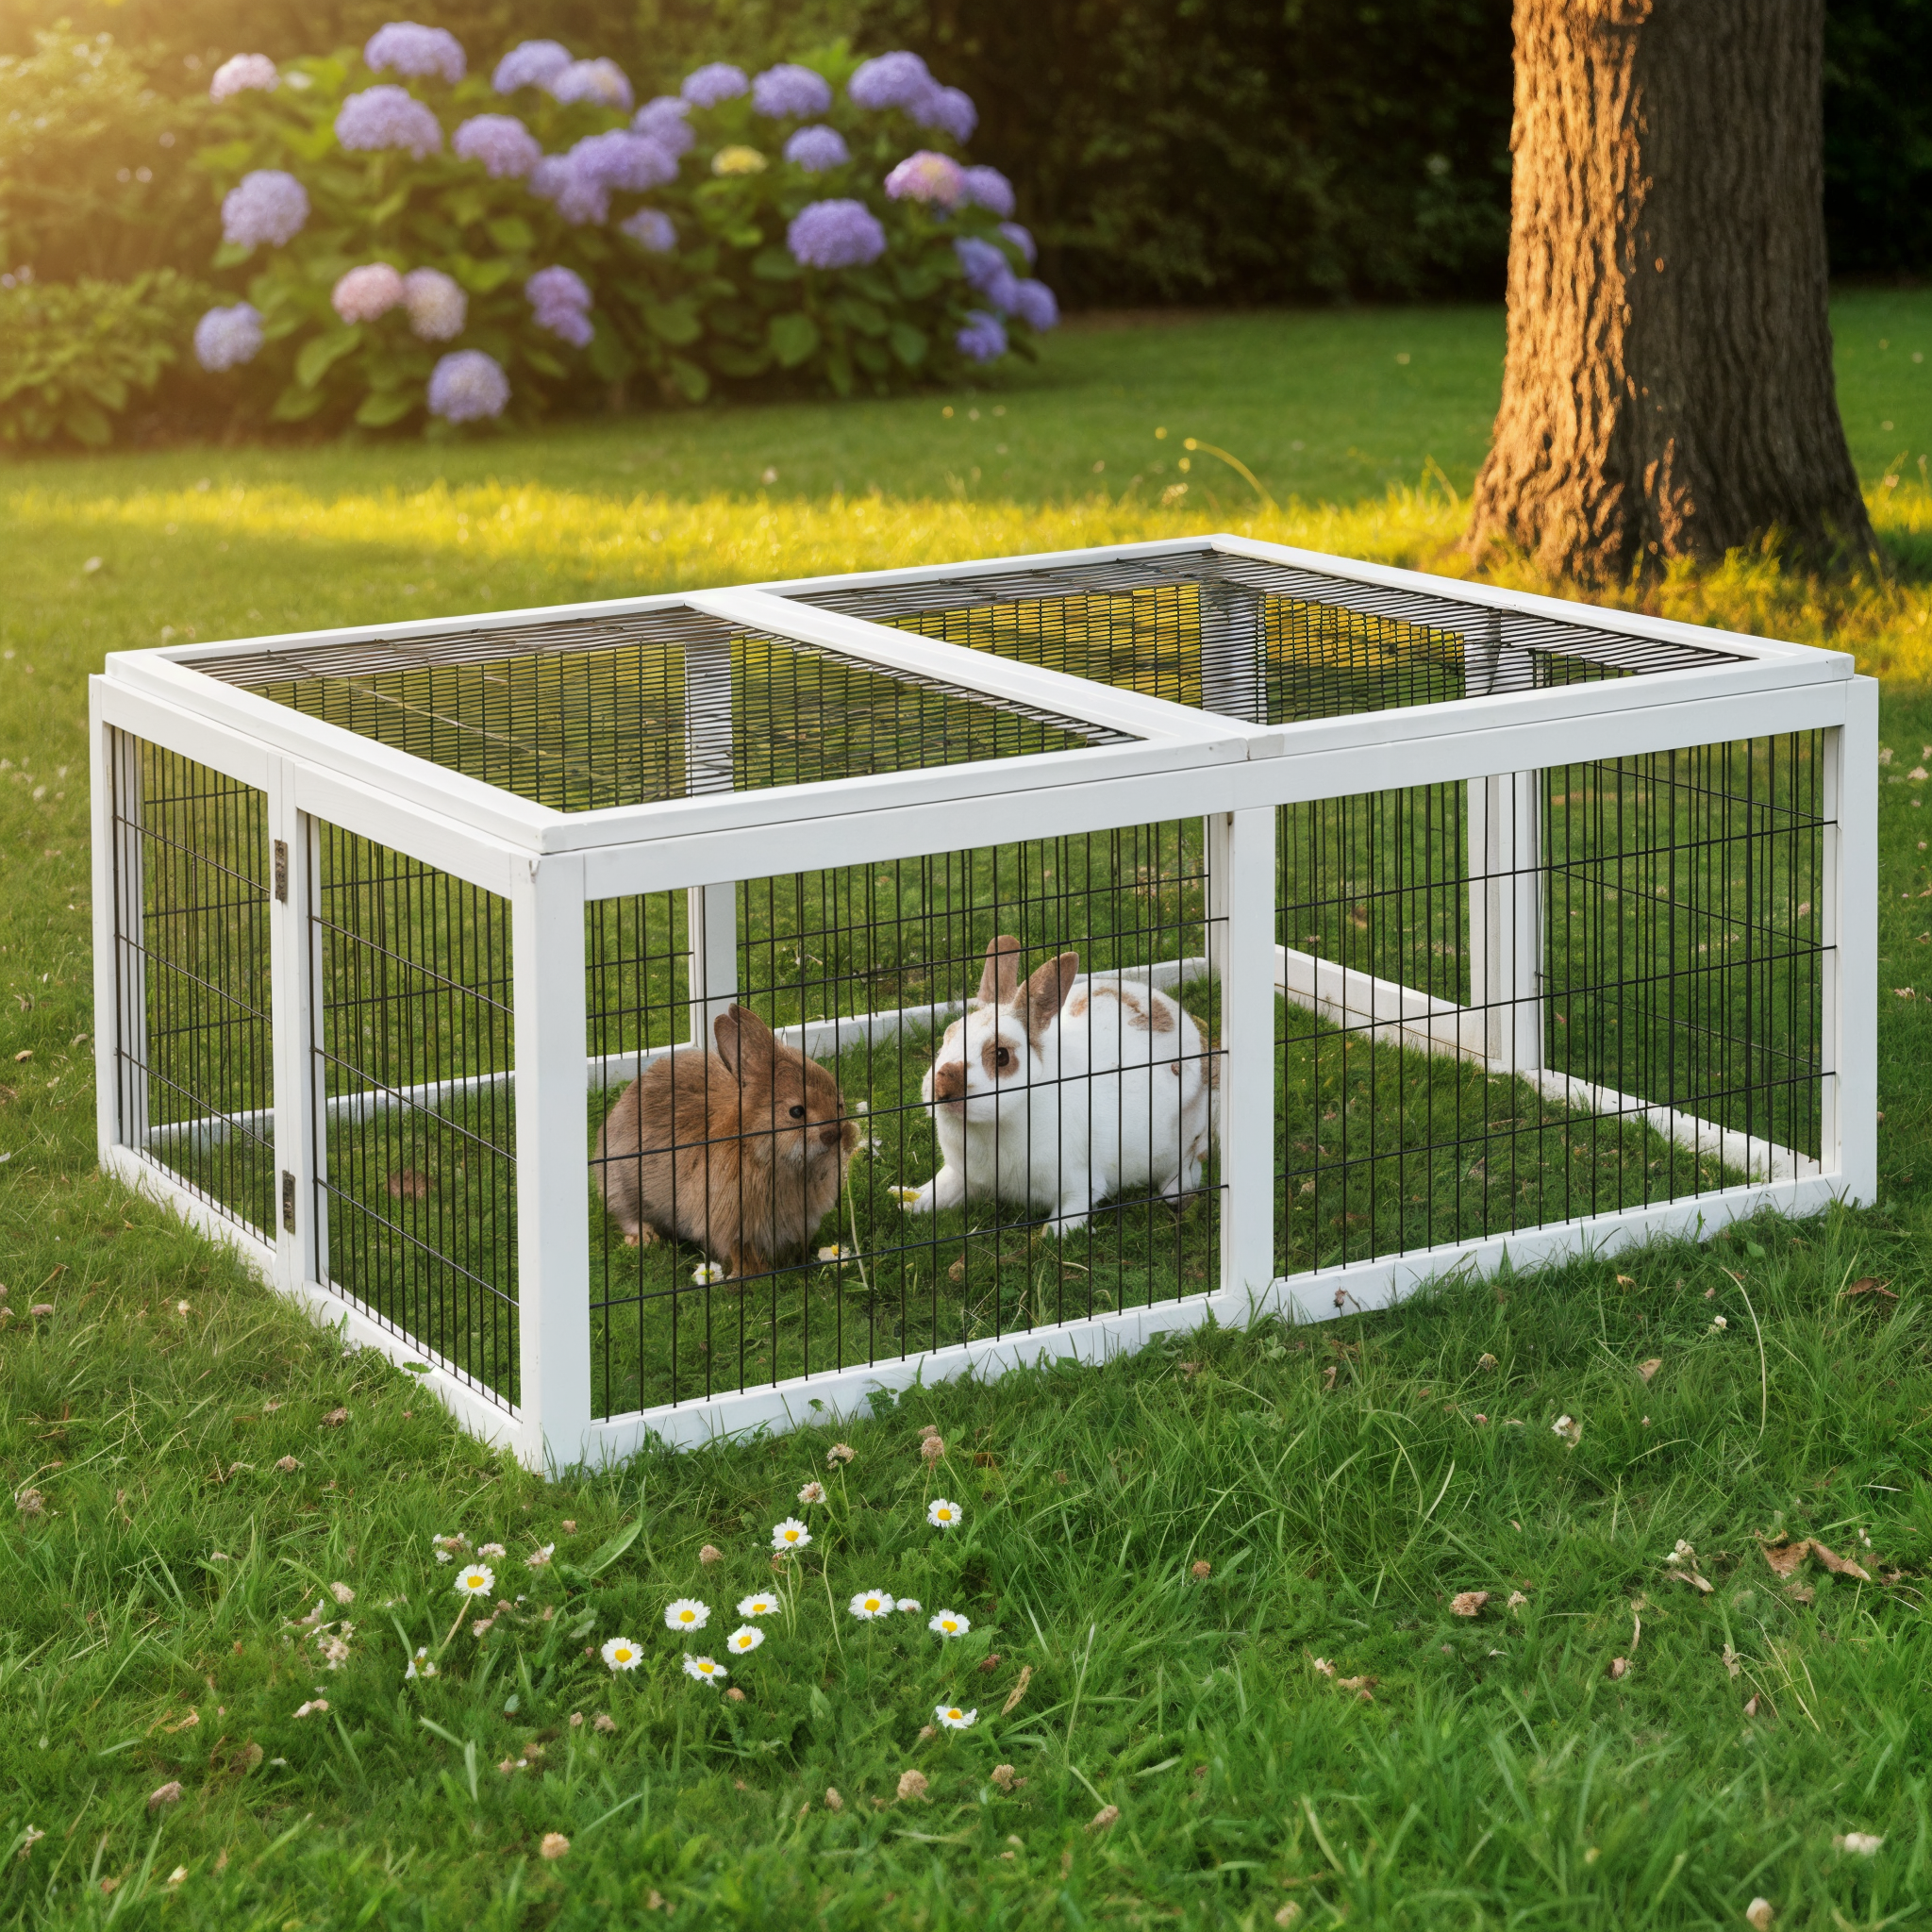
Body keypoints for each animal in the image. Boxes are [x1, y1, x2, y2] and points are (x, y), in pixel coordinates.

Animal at [596, 1002, 858, 1281]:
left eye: (839, 1104)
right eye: (796, 1112)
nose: (835, 1135)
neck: (757, 1147)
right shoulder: (731, 1225)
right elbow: (739, 1253)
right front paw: (749, 1275)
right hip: (623, 1183)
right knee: (628, 1214)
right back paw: (646, 1238)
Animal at [900, 935, 1216, 1234]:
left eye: (1001, 1055)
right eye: (947, 1036)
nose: (942, 1087)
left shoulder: (1080, 1184)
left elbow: (1061, 1223)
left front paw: (1052, 1235)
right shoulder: (962, 1174)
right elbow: (939, 1190)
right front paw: (907, 1200)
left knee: (1192, 1165)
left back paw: (1175, 1194)